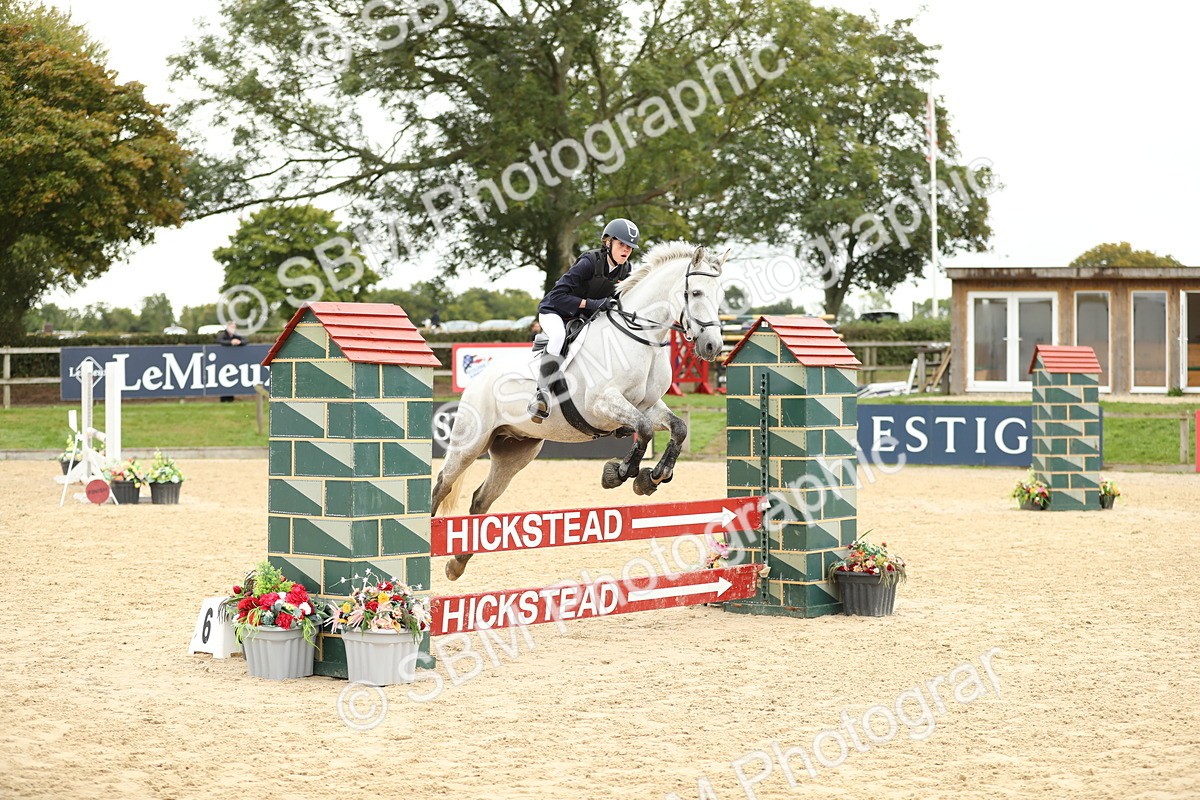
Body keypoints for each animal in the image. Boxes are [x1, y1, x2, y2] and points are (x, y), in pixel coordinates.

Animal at [432, 241, 728, 580]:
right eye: (696, 293)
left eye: (719, 295)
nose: (713, 347)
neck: (640, 339)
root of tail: (479, 379)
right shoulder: (602, 404)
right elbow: (643, 430)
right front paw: (620, 473)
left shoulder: (649, 406)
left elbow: (677, 428)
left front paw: (653, 477)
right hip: (470, 443)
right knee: (442, 484)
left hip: (515, 452)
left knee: (481, 499)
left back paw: (457, 564)